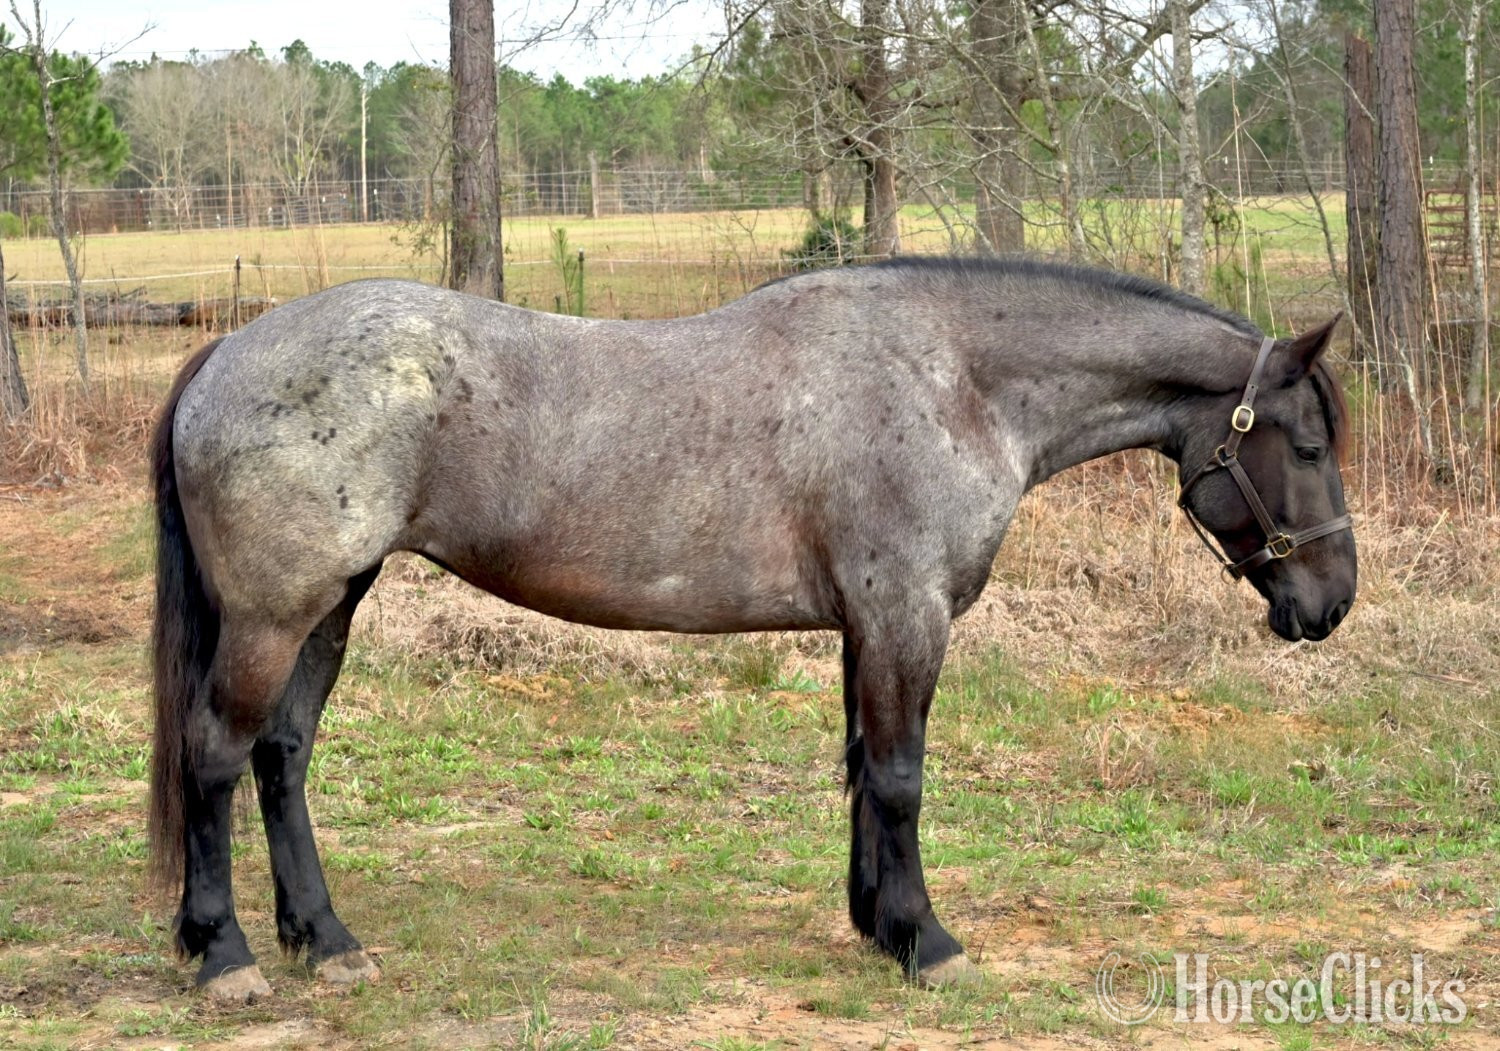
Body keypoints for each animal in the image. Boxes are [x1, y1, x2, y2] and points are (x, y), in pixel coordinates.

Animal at [147, 257, 1356, 1000]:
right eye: (1303, 443)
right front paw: (927, 942)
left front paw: (876, 921)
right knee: (216, 757)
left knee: (281, 756)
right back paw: (226, 952)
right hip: (274, 617)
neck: (955, 377)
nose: (1332, 603)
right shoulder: (904, 615)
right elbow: (903, 776)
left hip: (331, 606)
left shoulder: (868, 625)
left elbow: (866, 768)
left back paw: (325, 939)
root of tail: (227, 354)